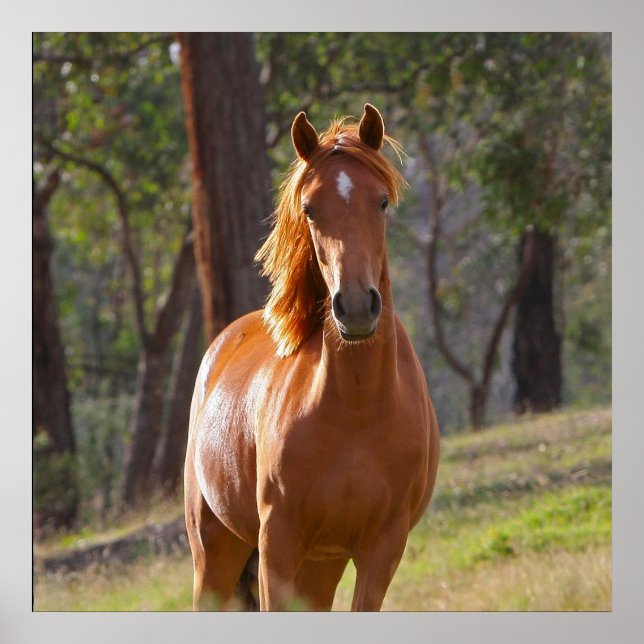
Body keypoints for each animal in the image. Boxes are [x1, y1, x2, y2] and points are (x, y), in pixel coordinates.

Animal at [184, 104, 440, 611]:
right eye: (310, 209)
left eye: (381, 202)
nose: (356, 306)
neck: (357, 409)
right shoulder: (278, 543)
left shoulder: (382, 548)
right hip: (216, 553)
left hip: (321, 566)